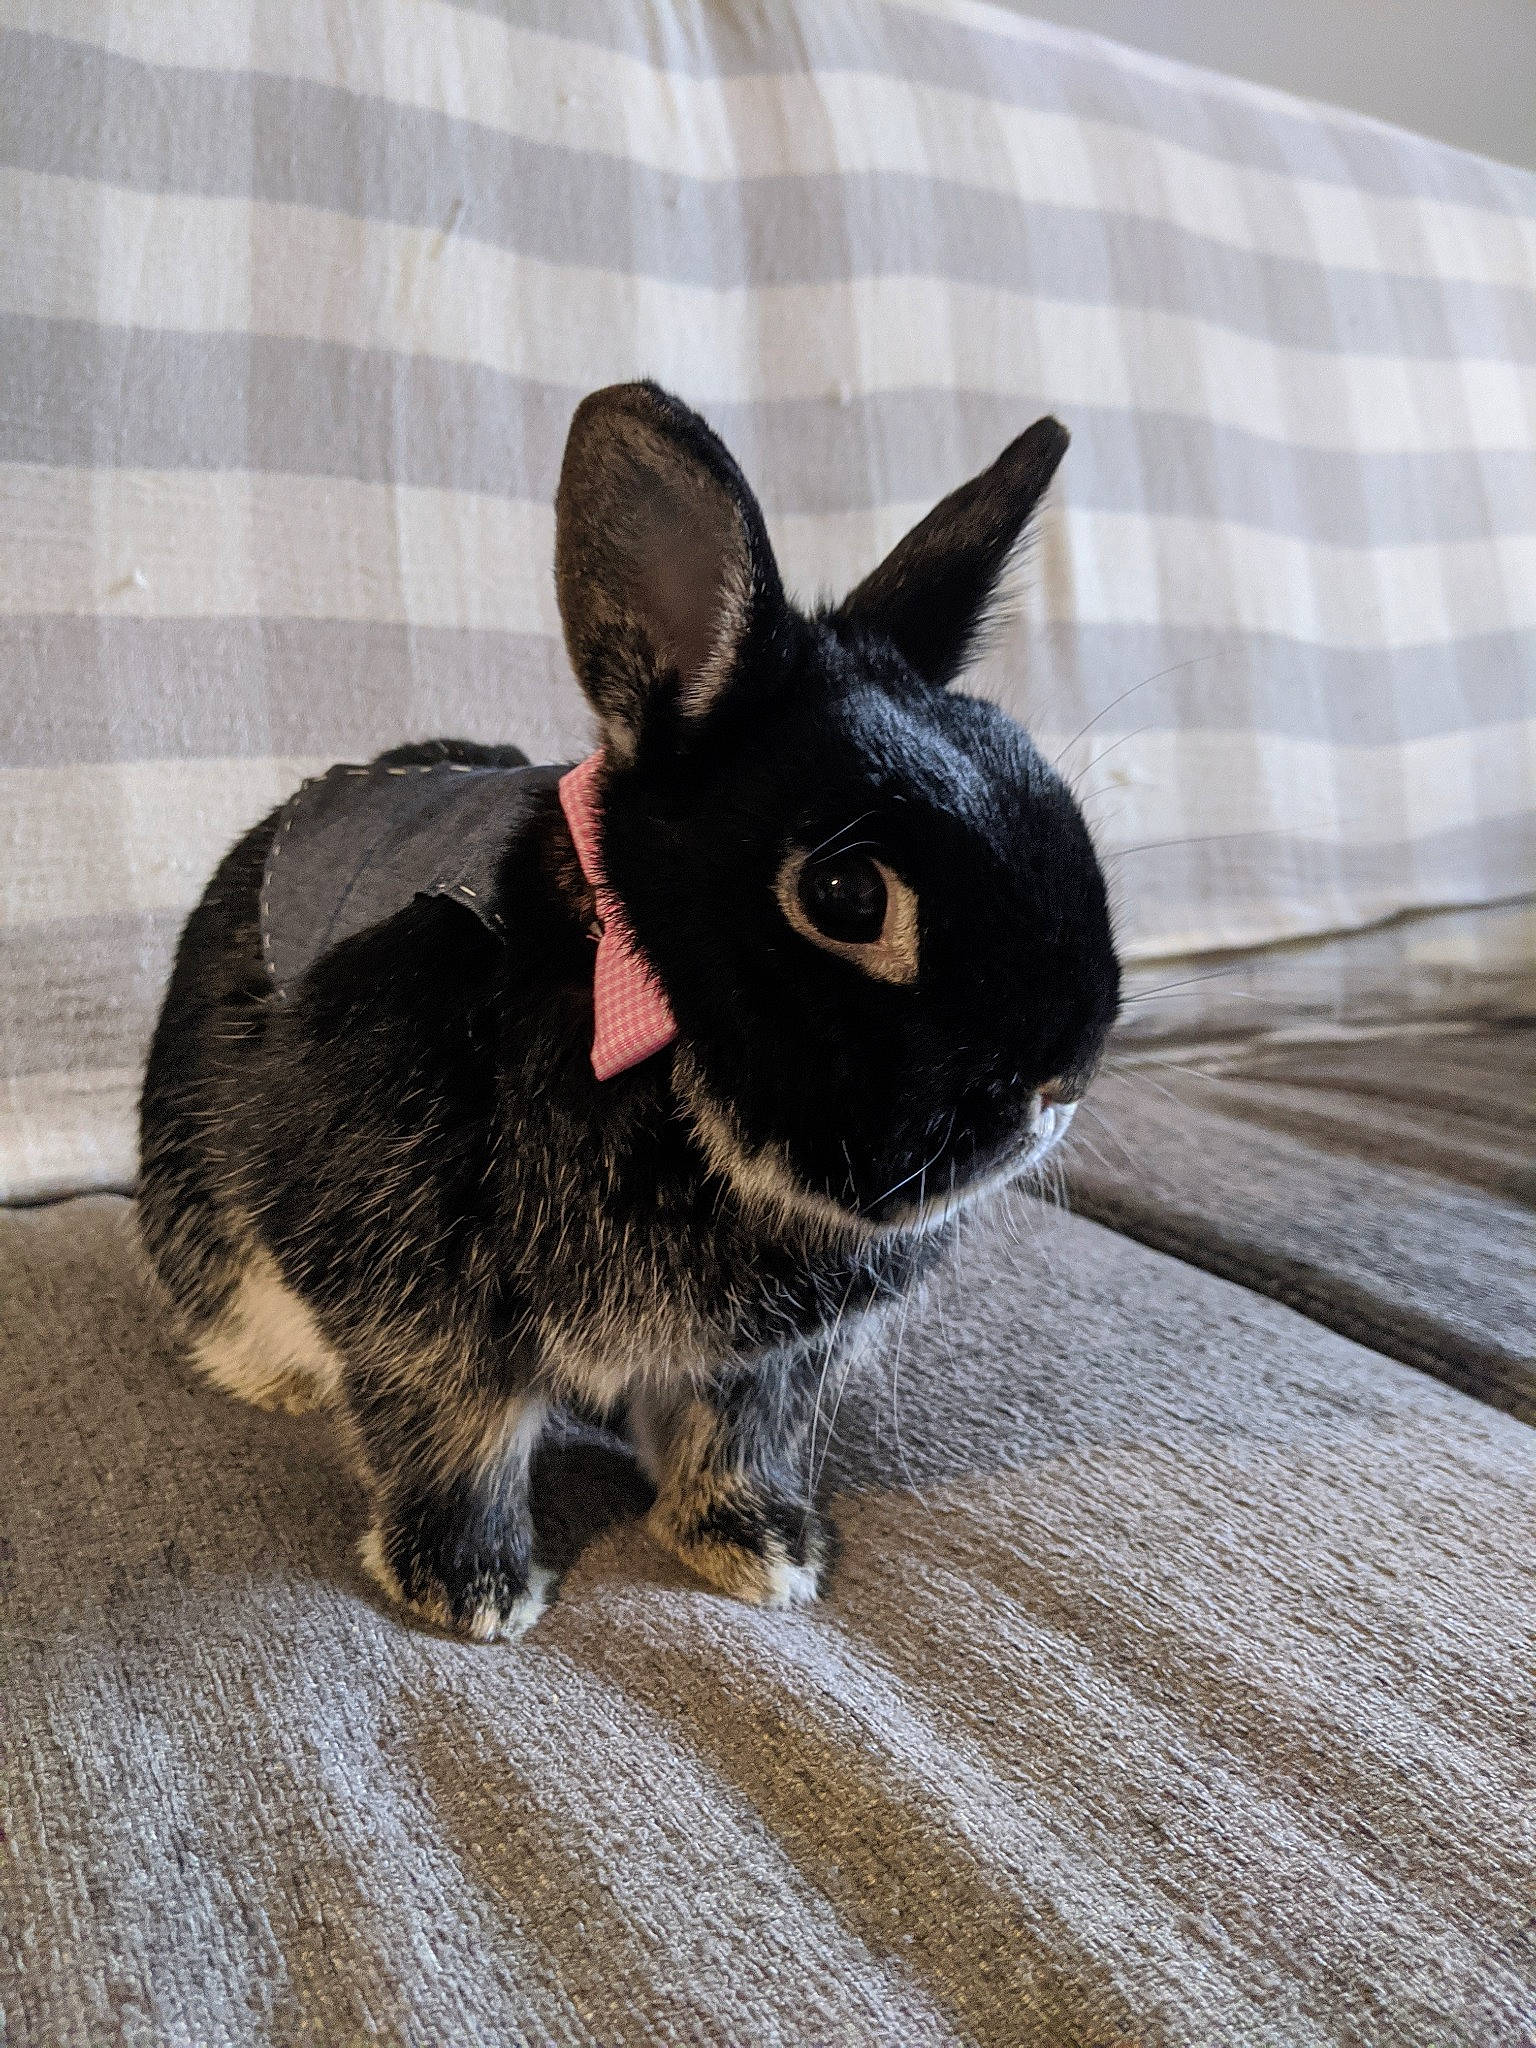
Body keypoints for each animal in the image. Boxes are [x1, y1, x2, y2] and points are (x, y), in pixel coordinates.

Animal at [138, 381, 1120, 1641]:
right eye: (847, 895)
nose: (1061, 1077)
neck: (635, 999)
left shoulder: (757, 1362)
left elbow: (729, 1436)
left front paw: (759, 1550)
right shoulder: (421, 1292)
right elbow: (452, 1432)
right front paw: (473, 1591)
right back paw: (282, 1378)